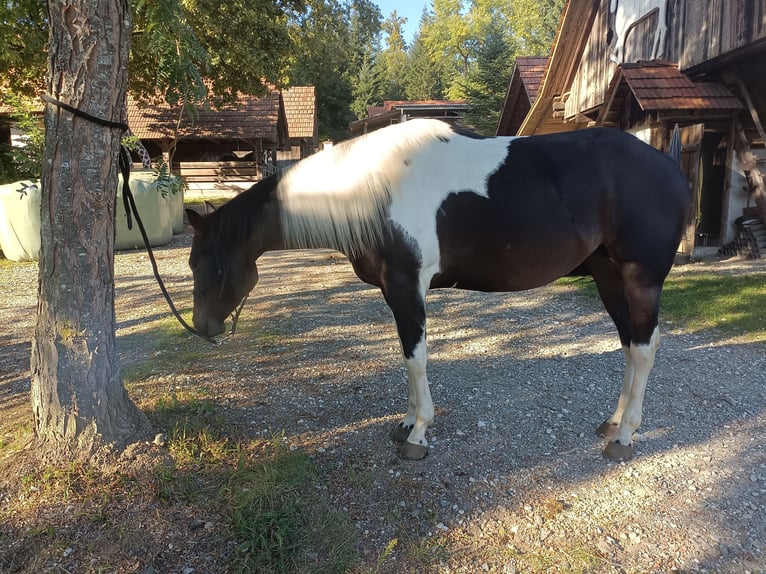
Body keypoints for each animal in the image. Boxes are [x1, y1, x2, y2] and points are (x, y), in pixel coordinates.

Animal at [185, 119, 690, 462]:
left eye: (206, 265)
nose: (202, 327)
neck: (374, 190)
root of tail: (669, 167)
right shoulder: (397, 292)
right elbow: (408, 359)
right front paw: (407, 421)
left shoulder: (407, 288)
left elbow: (416, 358)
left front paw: (418, 434)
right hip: (607, 275)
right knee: (629, 344)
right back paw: (613, 423)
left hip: (640, 276)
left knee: (644, 347)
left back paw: (625, 437)